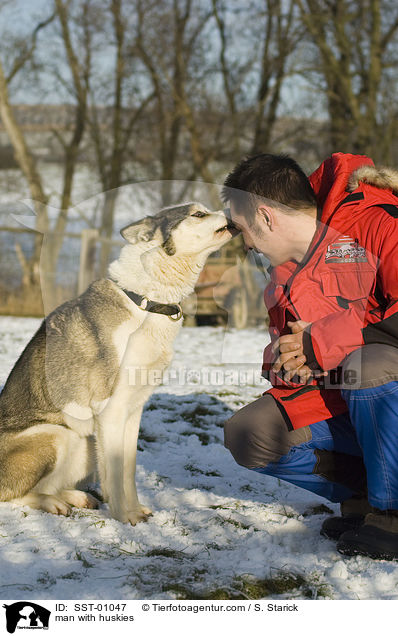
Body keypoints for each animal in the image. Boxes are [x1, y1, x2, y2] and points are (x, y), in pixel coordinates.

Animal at [0, 201, 236, 524]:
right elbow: (113, 473)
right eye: (198, 214)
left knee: (49, 485)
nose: (231, 211)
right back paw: (52, 504)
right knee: (10, 494)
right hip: (56, 435)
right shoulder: (109, 410)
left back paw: (71, 497)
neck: (146, 302)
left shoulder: (134, 409)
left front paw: (137, 511)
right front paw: (125, 519)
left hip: (84, 442)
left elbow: (127, 469)